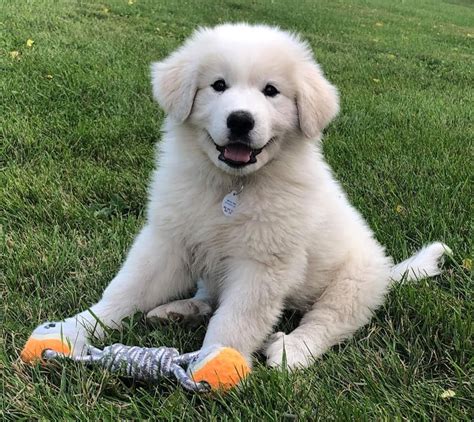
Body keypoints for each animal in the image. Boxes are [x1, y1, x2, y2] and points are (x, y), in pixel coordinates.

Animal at [58, 23, 448, 368]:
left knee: (327, 321)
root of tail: (388, 271)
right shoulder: (168, 240)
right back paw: (178, 311)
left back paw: (292, 351)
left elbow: (236, 319)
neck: (232, 186)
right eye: (218, 85)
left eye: (271, 91)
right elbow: (125, 290)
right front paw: (72, 328)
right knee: (210, 296)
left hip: (352, 283)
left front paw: (215, 363)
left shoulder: (263, 264)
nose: (241, 121)